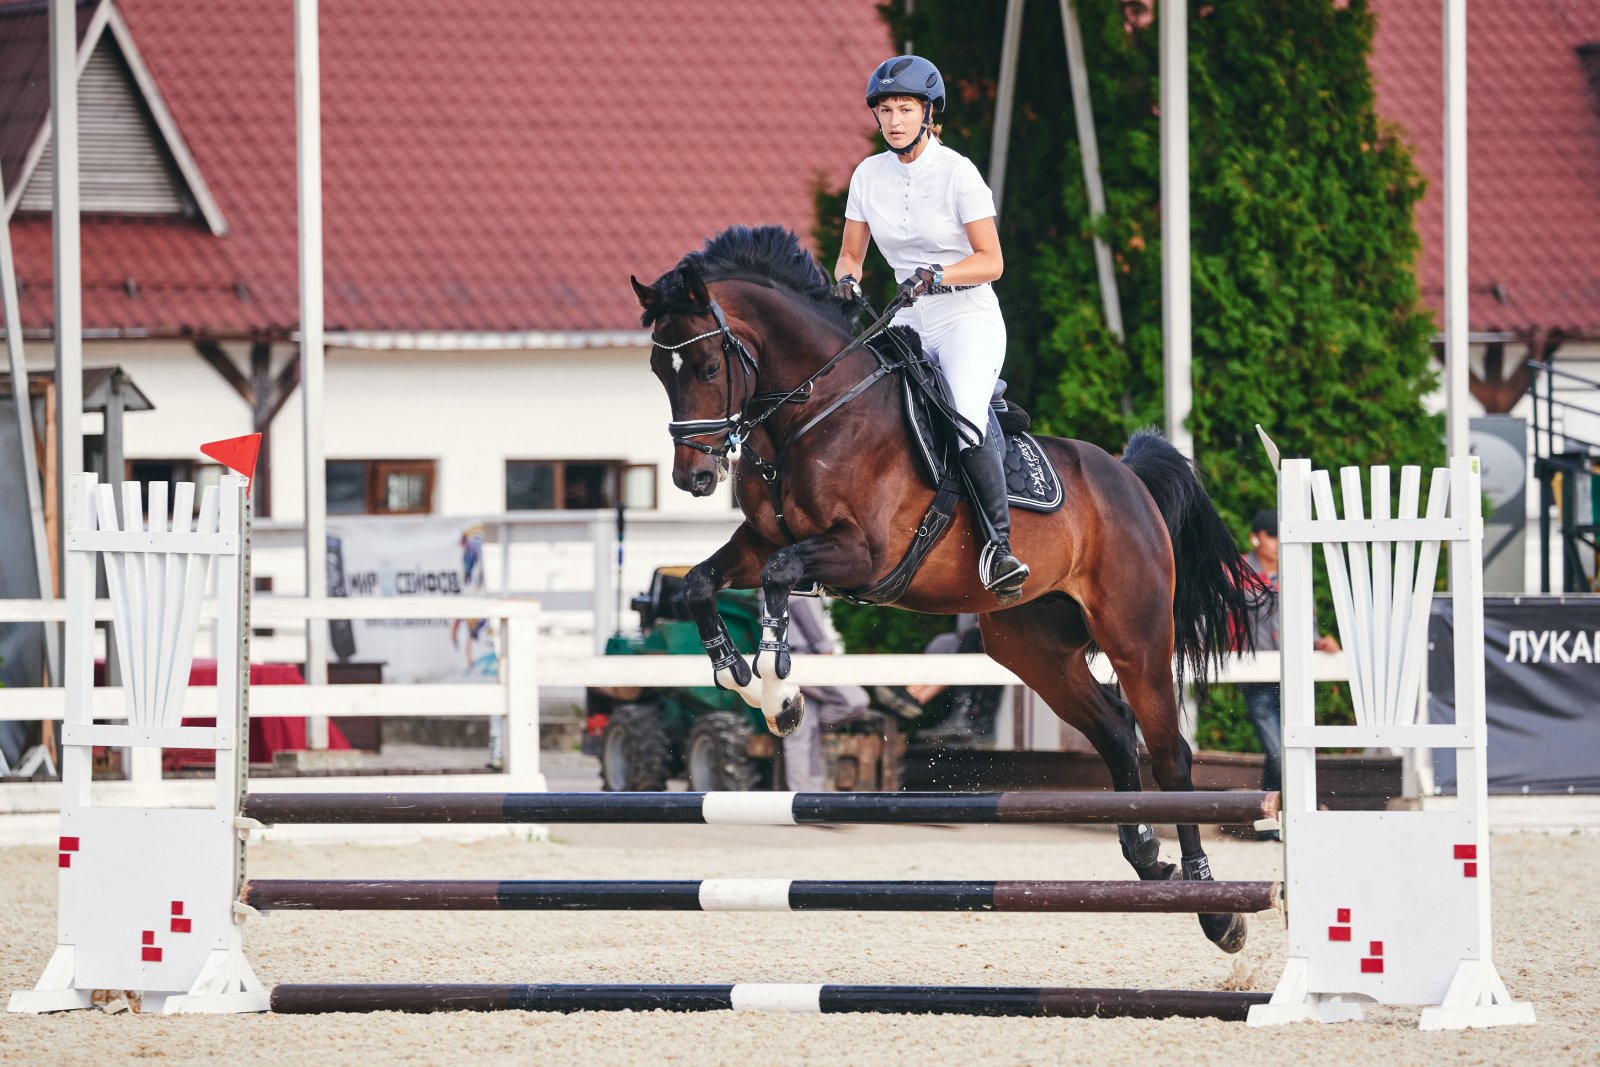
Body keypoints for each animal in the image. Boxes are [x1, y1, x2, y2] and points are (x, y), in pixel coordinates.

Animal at [630, 223, 1267, 953]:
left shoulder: (862, 554)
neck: (814, 412)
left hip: (1135, 638)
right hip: (1032, 646)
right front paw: (739, 676)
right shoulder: (760, 540)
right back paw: (1145, 853)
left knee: (1170, 753)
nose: (693, 479)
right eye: (660, 372)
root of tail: (1129, 477)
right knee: (1113, 728)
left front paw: (780, 690)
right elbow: (702, 583)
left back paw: (1214, 906)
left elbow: (778, 578)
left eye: (709, 368)